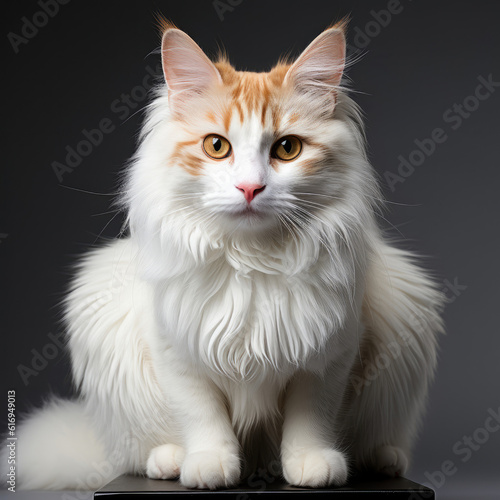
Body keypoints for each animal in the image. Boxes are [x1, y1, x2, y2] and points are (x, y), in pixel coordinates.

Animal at [5, 19, 444, 492]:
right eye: (217, 147)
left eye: (287, 149)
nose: (250, 188)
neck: (252, 259)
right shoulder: (176, 351)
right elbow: (201, 414)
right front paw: (209, 464)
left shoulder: (329, 353)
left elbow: (311, 417)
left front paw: (310, 463)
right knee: (136, 452)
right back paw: (170, 461)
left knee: (376, 439)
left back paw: (381, 459)